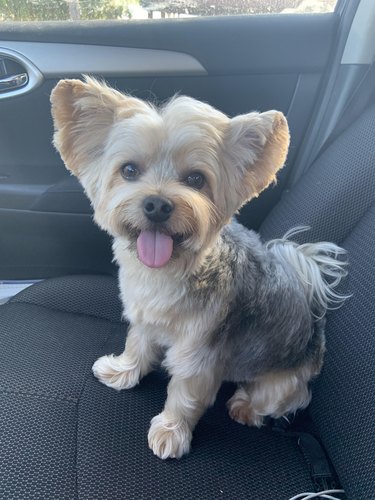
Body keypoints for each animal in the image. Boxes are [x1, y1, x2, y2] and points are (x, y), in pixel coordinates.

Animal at [50, 76, 350, 458]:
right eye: (129, 170)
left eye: (196, 179)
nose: (157, 205)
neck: (169, 271)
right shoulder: (145, 318)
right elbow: (137, 345)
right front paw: (122, 371)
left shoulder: (201, 351)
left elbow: (185, 396)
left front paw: (170, 432)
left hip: (282, 382)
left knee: (282, 399)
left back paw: (245, 406)